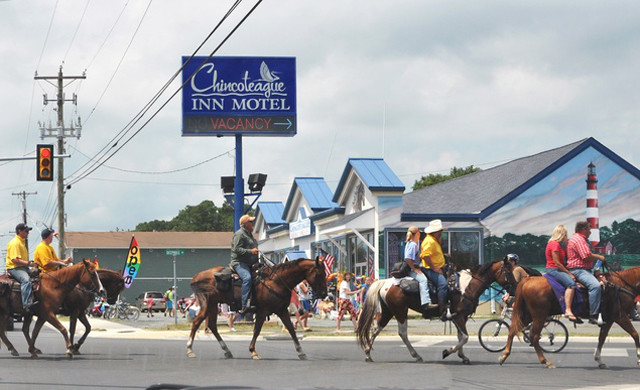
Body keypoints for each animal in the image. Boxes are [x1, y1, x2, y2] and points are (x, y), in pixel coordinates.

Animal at [184, 258, 324, 360]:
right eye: (319, 274)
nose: (323, 293)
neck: (276, 281)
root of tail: (196, 277)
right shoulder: (262, 311)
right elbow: (257, 330)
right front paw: (253, 352)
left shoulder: (282, 310)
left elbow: (291, 330)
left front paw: (301, 352)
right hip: (207, 303)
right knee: (196, 322)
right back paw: (190, 349)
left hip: (213, 305)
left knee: (212, 326)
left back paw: (227, 351)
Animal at [358, 258, 516, 362]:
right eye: (508, 271)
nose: (515, 287)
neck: (466, 287)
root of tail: (385, 282)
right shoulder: (458, 316)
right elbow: (465, 337)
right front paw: (447, 352)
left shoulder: (461, 317)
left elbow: (461, 336)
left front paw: (463, 356)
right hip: (400, 312)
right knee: (402, 333)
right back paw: (416, 355)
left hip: (388, 311)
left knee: (376, 329)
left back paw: (367, 353)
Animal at [500, 268, 640, 368]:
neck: (621, 286)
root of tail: (529, 280)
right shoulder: (620, 317)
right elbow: (635, 334)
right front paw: (638, 357)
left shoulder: (609, 320)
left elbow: (602, 339)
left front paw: (599, 360)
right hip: (539, 315)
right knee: (534, 336)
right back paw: (545, 361)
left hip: (528, 315)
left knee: (512, 330)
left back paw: (504, 355)